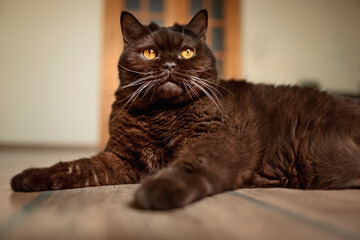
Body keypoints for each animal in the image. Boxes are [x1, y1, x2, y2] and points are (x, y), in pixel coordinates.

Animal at [11, 8, 360, 208]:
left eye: (187, 52)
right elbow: (77, 167)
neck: (161, 116)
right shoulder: (120, 158)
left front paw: (160, 190)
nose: (168, 65)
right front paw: (30, 177)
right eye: (150, 53)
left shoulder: (216, 139)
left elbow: (192, 164)